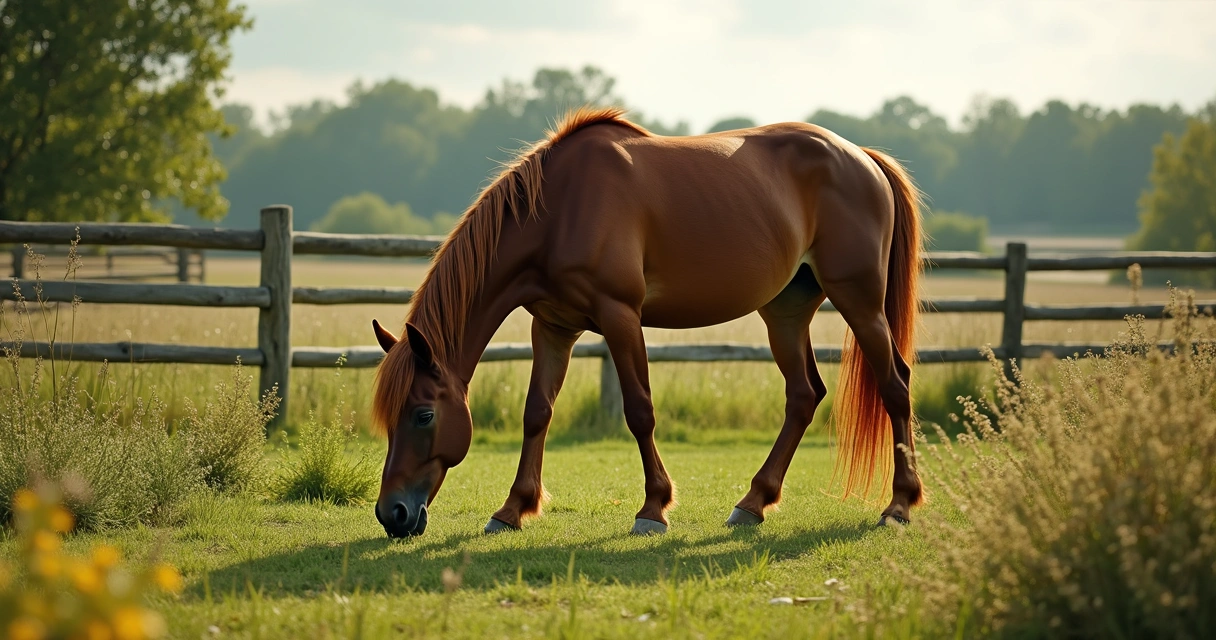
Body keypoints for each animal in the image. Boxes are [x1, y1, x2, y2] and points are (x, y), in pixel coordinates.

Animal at [370, 106, 923, 538]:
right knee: (804, 395)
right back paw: (753, 503)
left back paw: (898, 505)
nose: (392, 514)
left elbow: (639, 411)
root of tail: (862, 157)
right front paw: (512, 510)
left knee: (895, 385)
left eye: (423, 415)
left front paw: (653, 509)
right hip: (785, 312)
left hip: (859, 302)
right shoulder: (552, 327)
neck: (561, 209)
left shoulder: (620, 316)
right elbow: (537, 413)